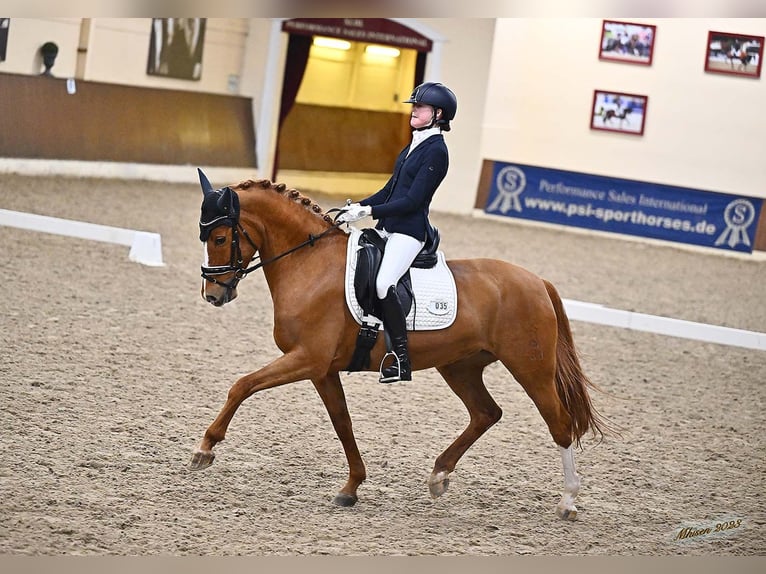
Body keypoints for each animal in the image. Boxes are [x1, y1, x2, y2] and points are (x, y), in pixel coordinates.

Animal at [189, 170, 608, 520]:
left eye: (221, 238)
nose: (213, 295)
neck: (309, 264)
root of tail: (538, 281)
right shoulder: (322, 370)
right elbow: (342, 422)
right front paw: (351, 487)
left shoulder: (307, 359)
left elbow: (242, 385)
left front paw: (205, 449)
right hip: (460, 366)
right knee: (486, 413)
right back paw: (439, 476)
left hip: (530, 367)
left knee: (559, 424)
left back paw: (568, 501)